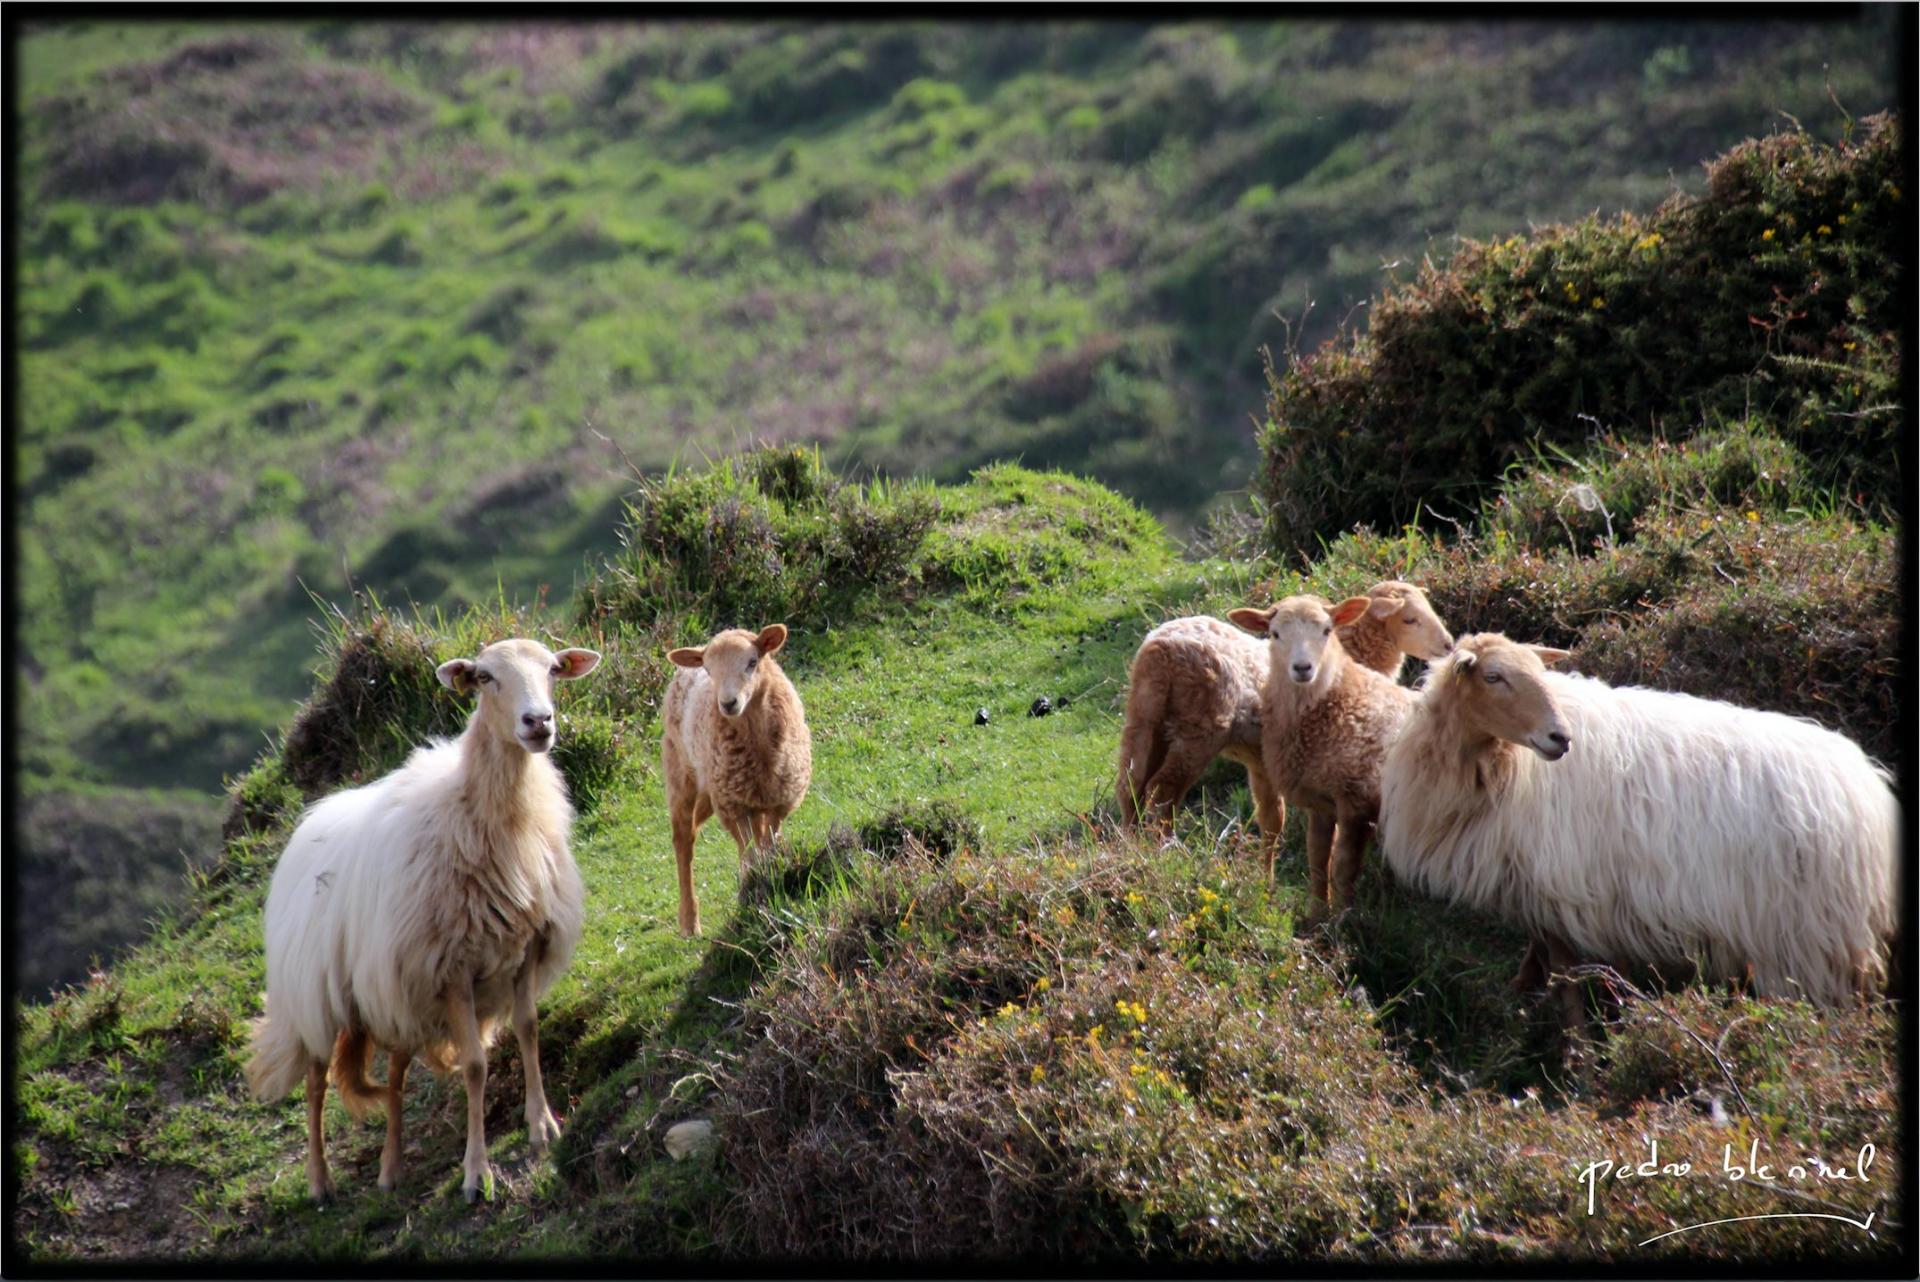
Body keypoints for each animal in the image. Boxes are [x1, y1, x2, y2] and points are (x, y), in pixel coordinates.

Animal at [245, 637, 599, 1205]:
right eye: (484, 678)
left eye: (552, 669)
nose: (538, 722)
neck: (493, 818)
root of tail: (308, 824)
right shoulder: (451, 969)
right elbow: (476, 1065)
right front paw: (476, 1173)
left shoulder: (523, 948)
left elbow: (528, 1028)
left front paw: (542, 1124)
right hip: (314, 994)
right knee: (316, 1082)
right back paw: (319, 1181)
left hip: (388, 989)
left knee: (395, 1073)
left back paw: (390, 1169)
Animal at [1221, 594, 1420, 902]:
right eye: (1275, 634)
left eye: (1327, 631)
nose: (1303, 668)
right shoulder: (1320, 803)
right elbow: (1316, 861)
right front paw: (1317, 911)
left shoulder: (1357, 802)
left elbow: (1343, 869)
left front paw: (1343, 914)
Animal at [1382, 633, 1904, 1028]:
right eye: (1493, 677)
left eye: (1540, 674)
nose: (1561, 738)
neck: (1504, 766)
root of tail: (1870, 792)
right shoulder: (1543, 895)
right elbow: (1540, 964)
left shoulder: (1562, 891)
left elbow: (1566, 980)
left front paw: (1578, 1053)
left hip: (1812, 940)